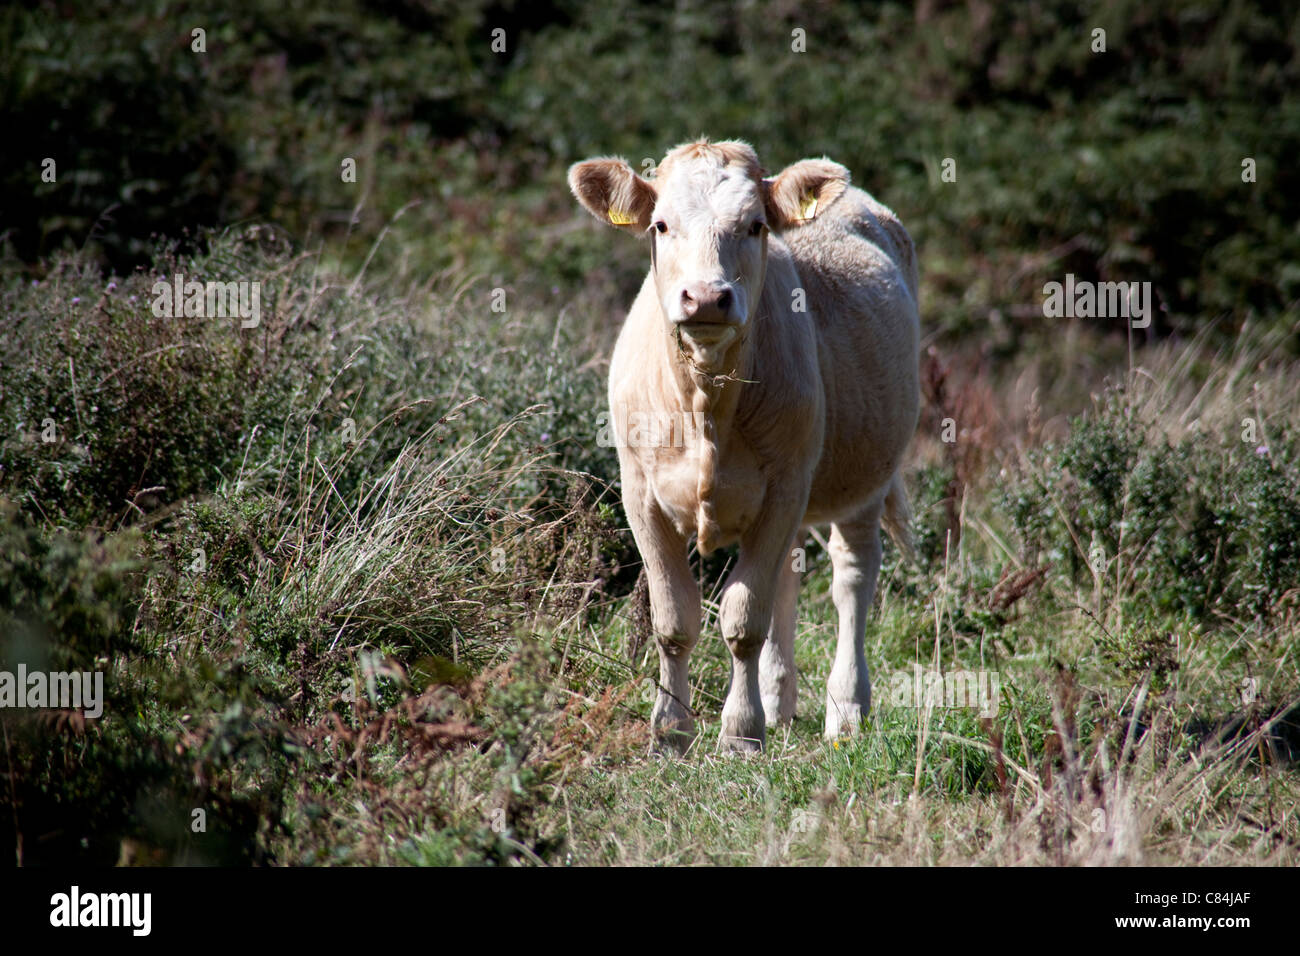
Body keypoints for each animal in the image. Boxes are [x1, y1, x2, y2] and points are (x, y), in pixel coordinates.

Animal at [564, 141, 920, 754]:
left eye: (755, 226)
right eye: (660, 224)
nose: (707, 298)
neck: (705, 405)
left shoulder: (784, 489)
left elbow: (744, 618)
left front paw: (740, 732)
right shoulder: (640, 494)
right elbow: (674, 618)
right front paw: (671, 730)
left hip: (863, 479)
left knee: (852, 578)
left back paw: (846, 710)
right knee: (790, 579)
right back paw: (780, 703)